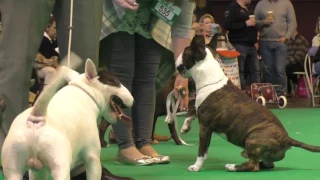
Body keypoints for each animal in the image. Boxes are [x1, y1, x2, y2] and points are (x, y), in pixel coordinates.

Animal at [1, 53, 134, 180]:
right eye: (115, 81)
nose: (132, 98)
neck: (85, 93)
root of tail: (37, 117)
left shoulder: (39, 171)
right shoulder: (92, 158)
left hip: (13, 168)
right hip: (60, 166)